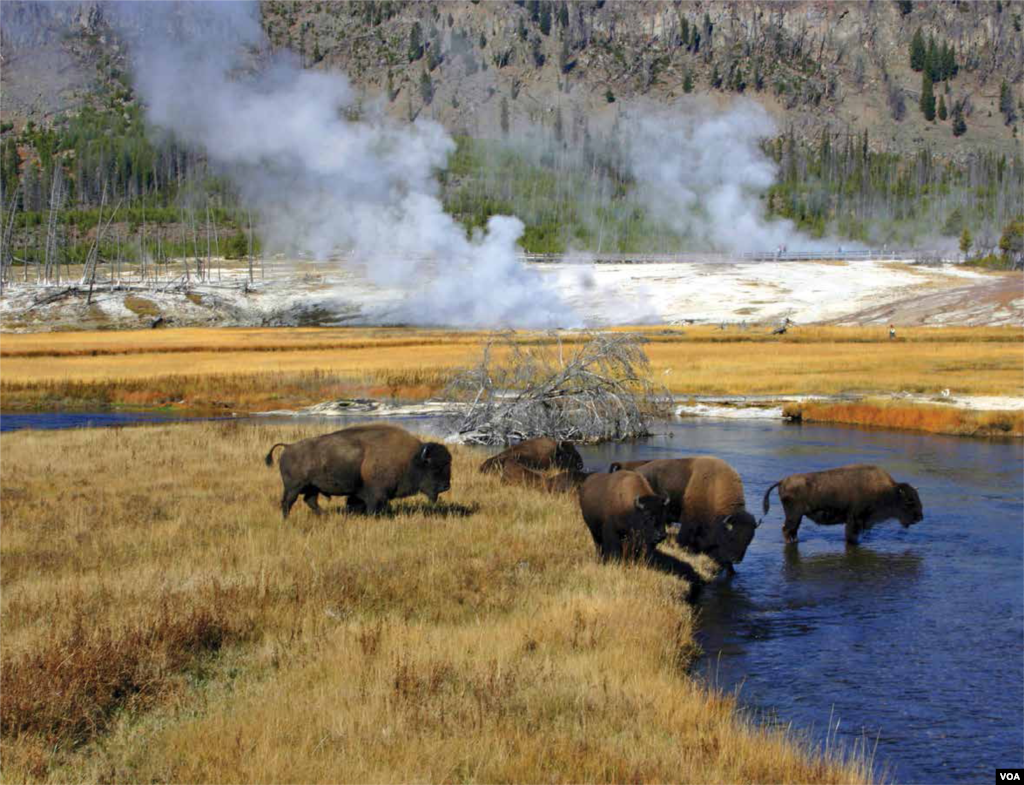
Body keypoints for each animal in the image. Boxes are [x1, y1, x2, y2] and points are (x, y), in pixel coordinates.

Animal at [264, 423, 452, 521]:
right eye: (434, 467)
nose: (446, 486)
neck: (411, 459)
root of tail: (288, 447)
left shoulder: (359, 494)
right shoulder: (376, 494)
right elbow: (373, 507)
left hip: (312, 487)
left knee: (310, 501)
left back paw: (324, 516)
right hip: (294, 488)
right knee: (288, 502)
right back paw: (286, 519)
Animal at [761, 462, 929, 544]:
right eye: (909, 501)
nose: (920, 517)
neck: (888, 491)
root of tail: (783, 481)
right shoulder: (854, 520)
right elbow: (851, 535)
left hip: (798, 517)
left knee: (792, 530)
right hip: (794, 515)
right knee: (787, 529)